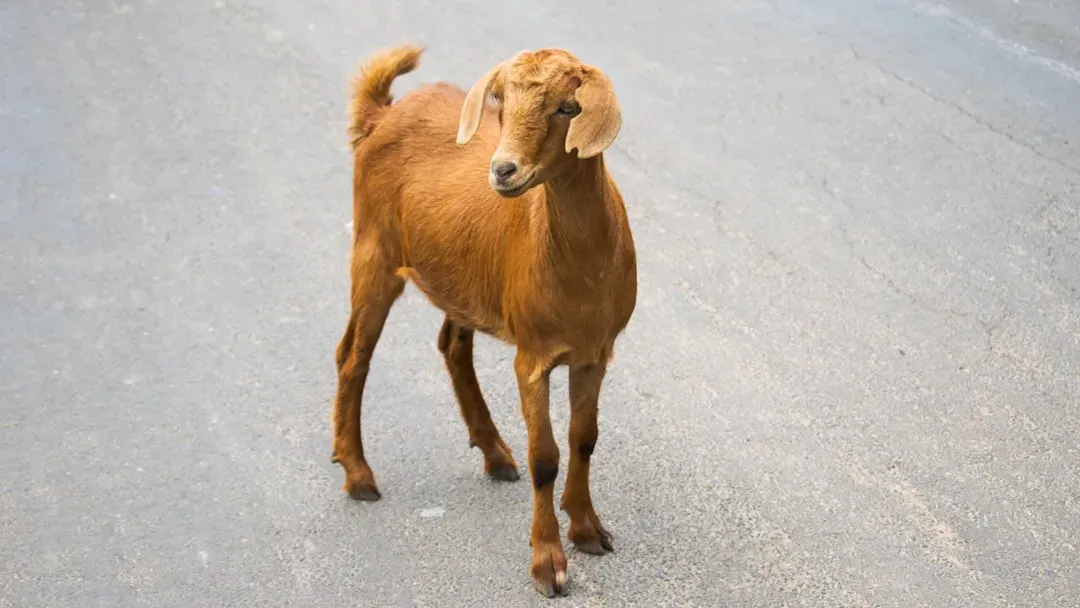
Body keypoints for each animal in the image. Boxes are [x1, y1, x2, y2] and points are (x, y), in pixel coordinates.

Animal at [331, 44, 637, 597]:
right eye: (502, 102)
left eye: (568, 108)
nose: (503, 170)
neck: (582, 267)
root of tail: (382, 115)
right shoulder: (532, 357)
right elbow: (546, 457)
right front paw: (548, 564)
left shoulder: (595, 353)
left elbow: (584, 438)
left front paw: (588, 530)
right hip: (373, 250)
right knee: (353, 355)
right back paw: (359, 475)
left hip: (459, 276)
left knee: (452, 343)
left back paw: (494, 453)